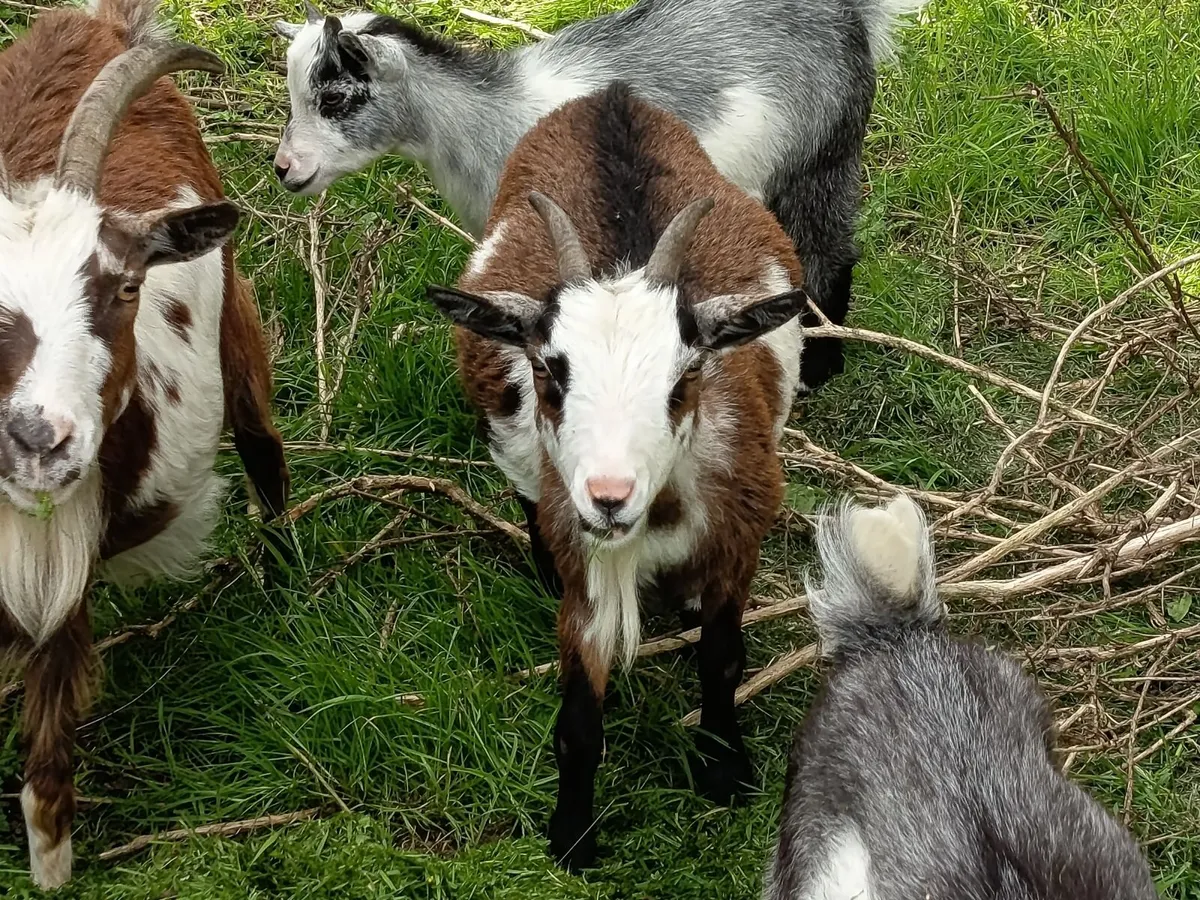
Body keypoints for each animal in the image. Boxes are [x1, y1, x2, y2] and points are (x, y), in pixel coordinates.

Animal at [0, 0, 289, 887]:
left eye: (125, 287)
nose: (41, 441)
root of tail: (91, 18)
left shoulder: (59, 578)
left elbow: (45, 782)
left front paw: (52, 880)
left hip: (235, 314)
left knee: (263, 443)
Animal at [275, 0, 926, 392]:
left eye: (334, 99)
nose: (285, 169)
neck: (490, 119)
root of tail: (848, 13)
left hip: (822, 156)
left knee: (829, 253)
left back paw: (818, 366)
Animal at [425, 82, 805, 870]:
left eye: (685, 377)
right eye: (548, 371)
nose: (608, 497)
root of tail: (611, 98)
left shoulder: (740, 535)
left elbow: (723, 659)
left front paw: (724, 767)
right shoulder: (588, 563)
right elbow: (577, 717)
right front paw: (572, 835)